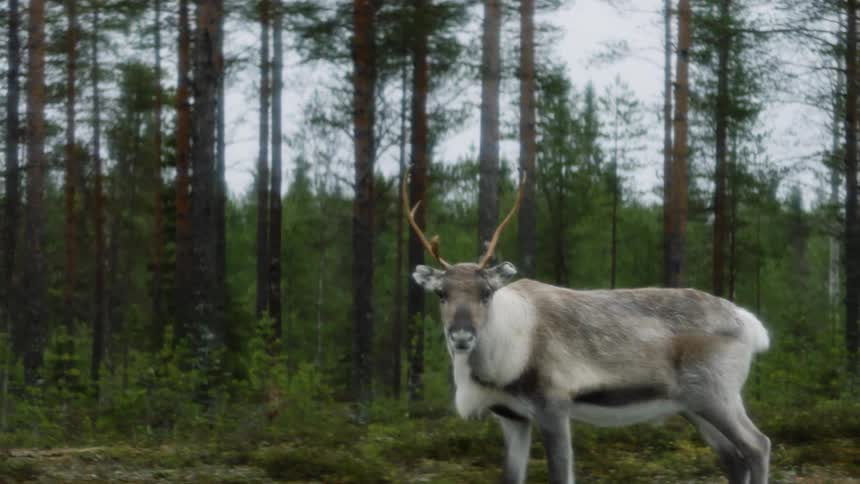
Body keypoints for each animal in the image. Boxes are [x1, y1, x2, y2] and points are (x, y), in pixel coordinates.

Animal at [402, 174, 771, 484]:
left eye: (486, 292)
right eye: (441, 293)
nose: (462, 336)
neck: (500, 365)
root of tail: (748, 322)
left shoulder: (553, 405)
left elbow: (561, 475)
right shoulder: (512, 417)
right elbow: (511, 477)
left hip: (717, 394)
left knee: (757, 446)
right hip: (693, 406)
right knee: (733, 458)